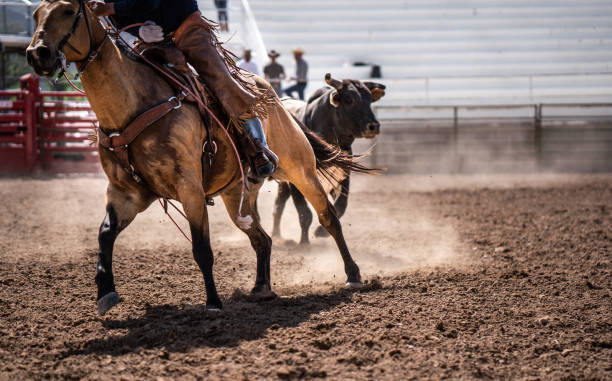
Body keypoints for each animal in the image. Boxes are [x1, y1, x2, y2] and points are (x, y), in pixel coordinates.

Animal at [27, 0, 364, 314]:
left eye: (68, 11)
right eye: (35, 14)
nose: (37, 54)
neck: (134, 104)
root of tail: (274, 97)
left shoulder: (190, 189)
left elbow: (202, 248)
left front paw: (213, 302)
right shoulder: (125, 193)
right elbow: (105, 235)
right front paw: (105, 293)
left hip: (300, 169)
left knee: (328, 218)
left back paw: (353, 274)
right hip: (237, 195)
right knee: (261, 238)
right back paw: (261, 287)